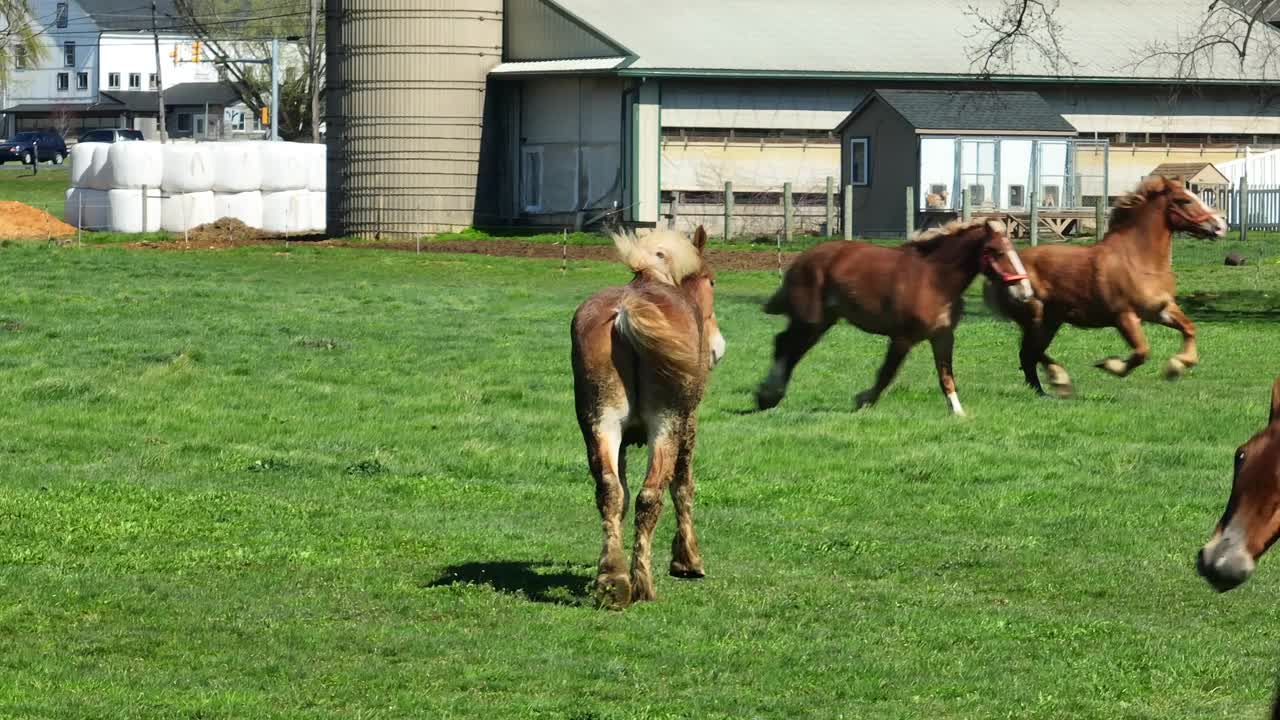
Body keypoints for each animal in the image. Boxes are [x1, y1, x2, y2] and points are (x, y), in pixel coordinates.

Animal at [568, 224, 721, 604]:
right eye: (711, 281)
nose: (716, 349)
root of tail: (625, 312)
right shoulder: (688, 423)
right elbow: (683, 486)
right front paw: (687, 560)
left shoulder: (619, 440)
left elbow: (618, 496)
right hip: (667, 426)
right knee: (650, 495)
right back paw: (641, 584)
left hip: (600, 425)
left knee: (609, 491)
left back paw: (612, 580)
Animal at [752, 217, 1034, 415]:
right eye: (997, 251)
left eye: (1013, 250)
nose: (1025, 292)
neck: (935, 280)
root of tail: (803, 259)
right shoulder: (903, 338)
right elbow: (887, 373)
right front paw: (862, 401)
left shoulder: (942, 336)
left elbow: (946, 376)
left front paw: (958, 412)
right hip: (810, 319)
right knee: (786, 345)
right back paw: (767, 395)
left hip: (822, 322)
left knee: (791, 348)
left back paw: (770, 396)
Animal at [983, 176, 1223, 394]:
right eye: (1184, 200)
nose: (1220, 226)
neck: (1139, 260)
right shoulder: (1124, 316)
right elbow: (1141, 352)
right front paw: (1110, 365)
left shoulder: (1159, 310)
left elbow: (1189, 328)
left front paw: (1176, 367)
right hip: (1036, 318)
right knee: (1029, 352)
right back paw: (1057, 381)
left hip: (1051, 320)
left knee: (1030, 353)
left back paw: (1047, 388)